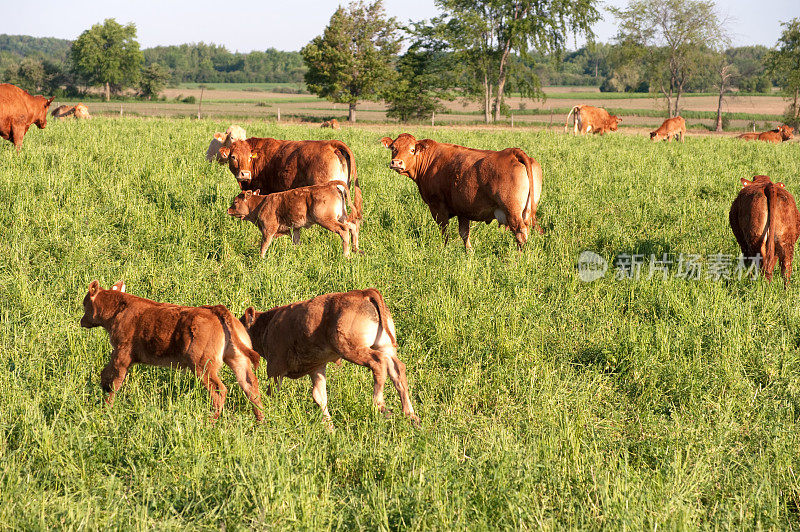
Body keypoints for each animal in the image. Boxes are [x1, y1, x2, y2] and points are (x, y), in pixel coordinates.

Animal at [80, 278, 264, 420]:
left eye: (85, 304)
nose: (82, 321)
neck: (120, 309)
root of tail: (217, 310)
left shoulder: (122, 354)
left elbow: (114, 379)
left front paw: (107, 406)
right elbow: (106, 373)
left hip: (202, 365)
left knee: (219, 390)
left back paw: (211, 421)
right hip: (237, 359)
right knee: (250, 385)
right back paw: (260, 420)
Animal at [227, 181, 360, 258]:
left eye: (235, 202)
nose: (228, 209)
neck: (261, 204)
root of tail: (330, 185)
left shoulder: (268, 231)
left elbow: (263, 246)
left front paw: (261, 259)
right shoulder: (294, 230)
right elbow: (296, 243)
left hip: (326, 220)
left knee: (344, 230)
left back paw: (346, 255)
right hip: (341, 217)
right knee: (352, 226)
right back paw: (356, 249)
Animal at [241, 288, 418, 426]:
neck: (268, 324)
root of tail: (363, 293)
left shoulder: (275, 369)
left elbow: (273, 392)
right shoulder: (317, 367)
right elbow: (319, 396)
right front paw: (329, 427)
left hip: (351, 349)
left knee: (378, 363)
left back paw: (380, 404)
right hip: (385, 347)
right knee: (397, 370)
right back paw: (411, 416)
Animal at [382, 133, 544, 249]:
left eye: (412, 150)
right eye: (394, 148)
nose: (396, 162)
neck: (430, 161)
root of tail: (512, 152)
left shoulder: (437, 207)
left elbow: (445, 232)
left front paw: (444, 251)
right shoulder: (462, 210)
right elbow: (464, 234)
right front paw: (468, 252)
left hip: (512, 211)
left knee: (520, 233)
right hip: (527, 211)